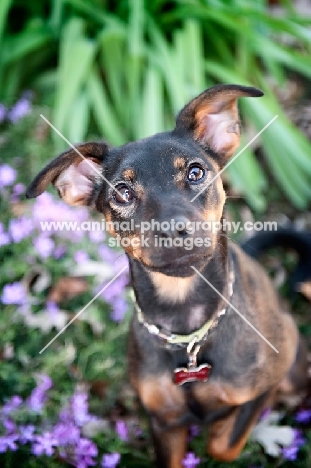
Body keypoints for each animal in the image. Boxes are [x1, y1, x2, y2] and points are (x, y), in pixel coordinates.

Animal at [26, 85, 310, 468]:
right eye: (122, 192)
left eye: (195, 172)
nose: (172, 229)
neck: (184, 318)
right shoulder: (162, 421)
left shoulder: (267, 380)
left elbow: (224, 442)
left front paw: (219, 422)